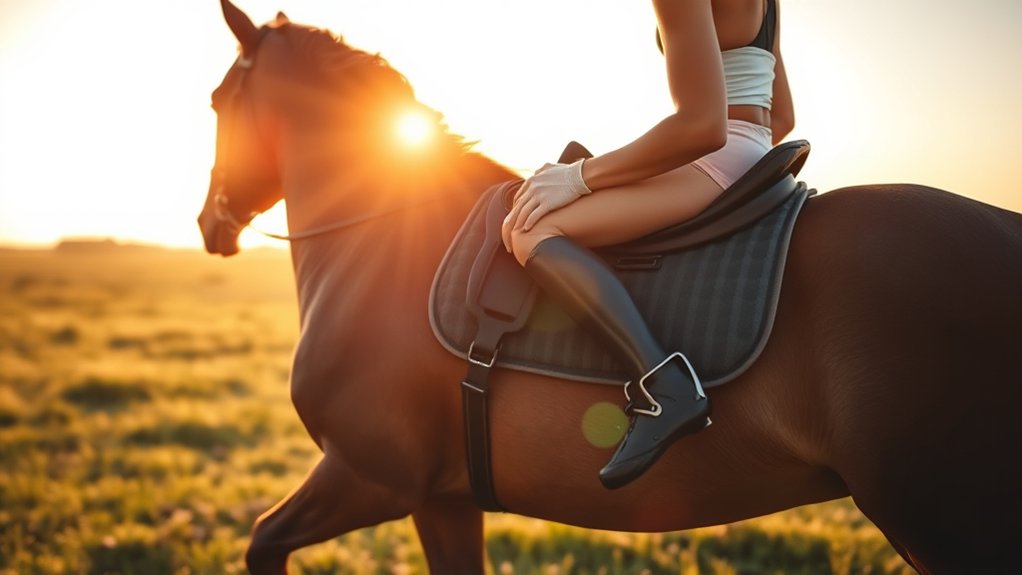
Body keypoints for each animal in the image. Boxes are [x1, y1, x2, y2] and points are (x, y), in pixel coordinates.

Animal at [197, 2, 1022, 573]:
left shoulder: (370, 475)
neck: (384, 235)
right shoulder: (443, 497)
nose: (209, 223)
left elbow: (263, 540)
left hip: (942, 517)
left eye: (215, 103)